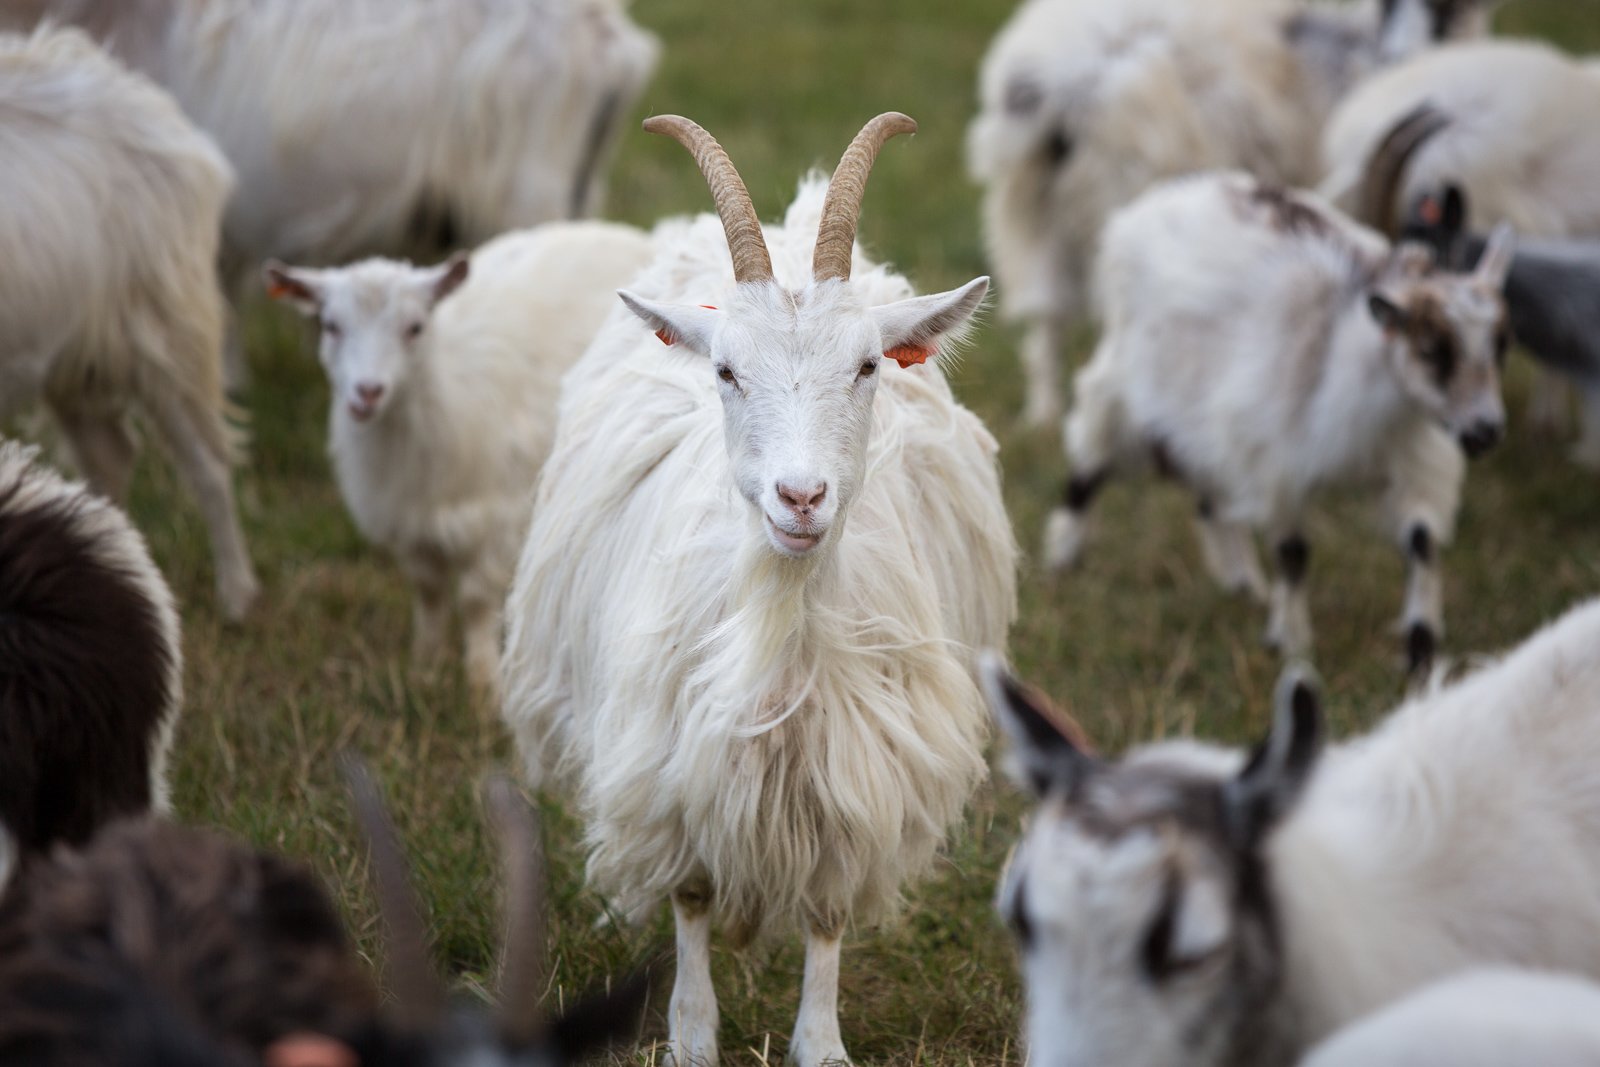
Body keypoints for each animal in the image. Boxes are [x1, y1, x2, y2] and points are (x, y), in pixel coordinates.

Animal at [264, 222, 655, 696]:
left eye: (415, 327)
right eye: (330, 325)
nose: (367, 393)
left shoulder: (496, 517)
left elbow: (473, 600)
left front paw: (482, 683)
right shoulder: (407, 523)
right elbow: (429, 591)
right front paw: (424, 666)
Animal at [500, 113, 1017, 1066]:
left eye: (869, 367)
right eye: (727, 372)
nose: (800, 496)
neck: (786, 623)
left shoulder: (853, 774)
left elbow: (827, 908)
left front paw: (821, 1042)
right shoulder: (675, 767)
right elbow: (692, 894)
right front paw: (690, 1034)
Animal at [1043, 108, 1514, 677]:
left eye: (1500, 344)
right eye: (1432, 348)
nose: (1486, 432)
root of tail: (1151, 206)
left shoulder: (1416, 462)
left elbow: (1421, 543)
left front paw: (1421, 650)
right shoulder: (1281, 460)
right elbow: (1294, 552)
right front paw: (1291, 642)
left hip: (1204, 414)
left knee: (1209, 493)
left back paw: (1243, 583)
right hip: (1128, 386)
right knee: (1090, 462)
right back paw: (1063, 556)